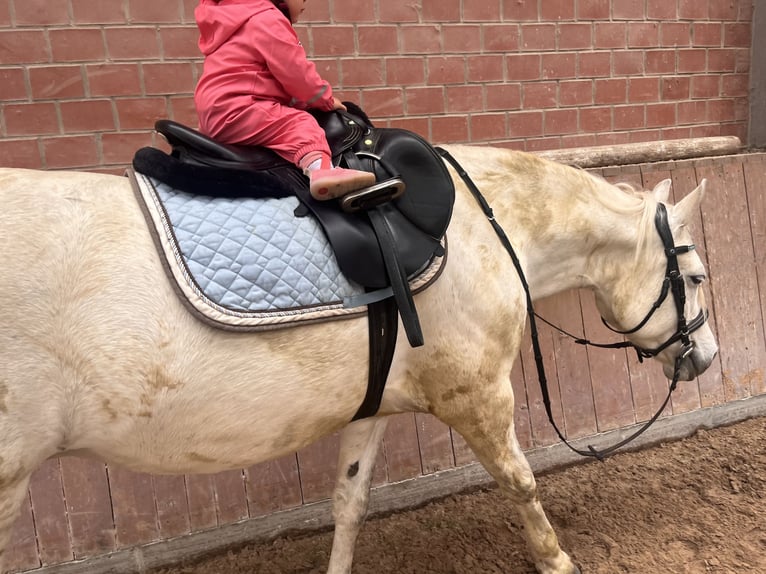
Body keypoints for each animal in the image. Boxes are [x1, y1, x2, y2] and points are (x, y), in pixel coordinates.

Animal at [0, 144, 717, 574]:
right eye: (697, 277)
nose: (706, 358)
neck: (482, 231)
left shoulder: (372, 407)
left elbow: (348, 503)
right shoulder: (479, 396)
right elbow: (521, 482)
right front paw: (557, 560)